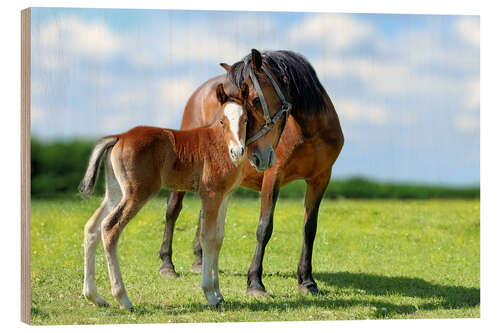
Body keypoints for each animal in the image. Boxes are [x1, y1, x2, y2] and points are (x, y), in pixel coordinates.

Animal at [78, 83, 248, 308]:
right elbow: (208, 238)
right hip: (137, 193)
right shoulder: (210, 195)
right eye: (222, 120)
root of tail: (120, 136)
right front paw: (210, 294)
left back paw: (94, 297)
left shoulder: (224, 196)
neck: (218, 143)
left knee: (92, 228)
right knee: (110, 227)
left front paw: (219, 293)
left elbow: (218, 238)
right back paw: (123, 298)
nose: (238, 151)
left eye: (245, 118)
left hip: (116, 193)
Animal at [160, 50, 344, 296]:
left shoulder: (320, 179)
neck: (310, 132)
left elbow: (309, 228)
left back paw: (200, 261)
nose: (252, 155)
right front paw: (255, 282)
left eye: (255, 100)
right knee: (173, 209)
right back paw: (167, 265)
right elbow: (264, 227)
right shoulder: (273, 176)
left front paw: (307, 281)